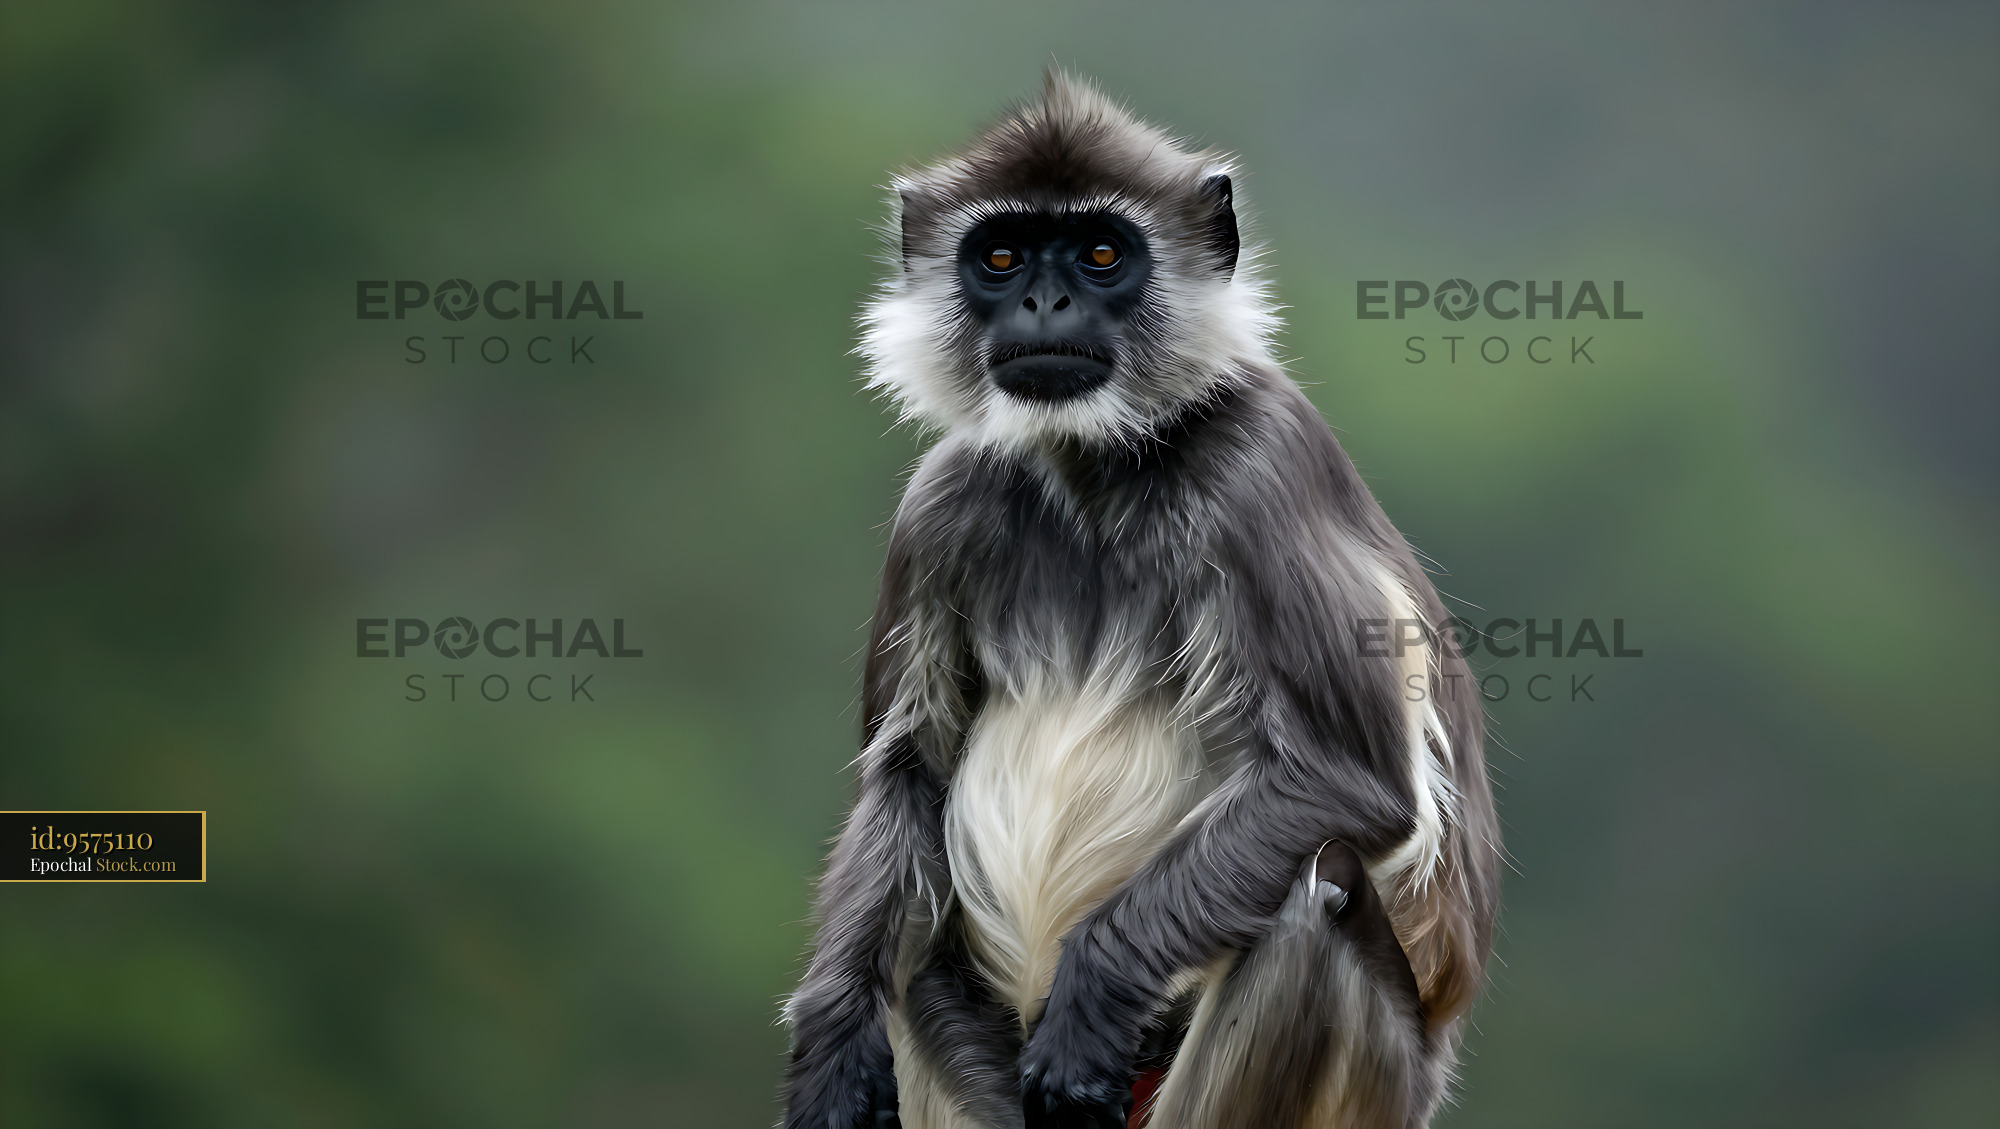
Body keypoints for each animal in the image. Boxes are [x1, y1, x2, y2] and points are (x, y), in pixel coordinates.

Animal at [781, 70, 1500, 1129]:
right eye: (1002, 255)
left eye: (1102, 253)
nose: (1045, 301)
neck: (1096, 469)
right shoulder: (941, 500)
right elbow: (909, 771)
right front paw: (832, 1043)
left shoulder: (1257, 466)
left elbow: (1346, 779)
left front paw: (1090, 994)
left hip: (1368, 1078)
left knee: (1315, 891)